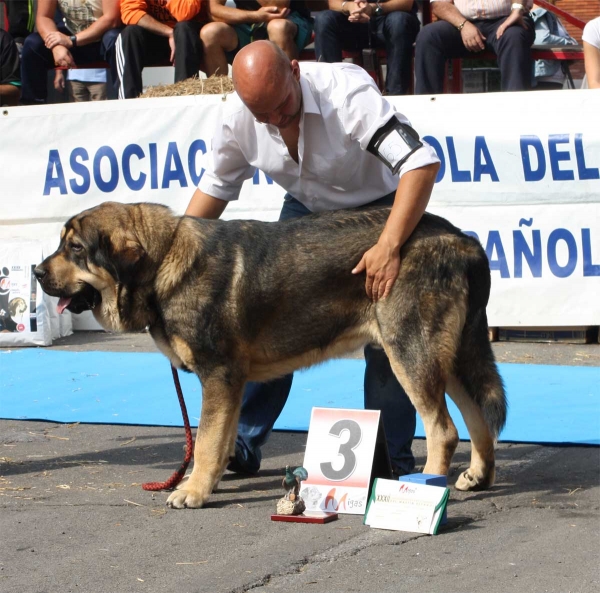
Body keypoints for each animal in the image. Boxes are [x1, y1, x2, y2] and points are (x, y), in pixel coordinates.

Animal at [35, 201, 506, 506]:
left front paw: (192, 491)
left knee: (444, 430)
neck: (164, 260)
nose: (37, 271)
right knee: (479, 420)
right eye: (62, 244)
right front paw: (209, 482)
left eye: (75, 249)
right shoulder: (230, 382)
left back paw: (428, 486)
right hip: (451, 357)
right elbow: (222, 438)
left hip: (410, 352)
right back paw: (478, 477)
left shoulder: (218, 375)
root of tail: (462, 240)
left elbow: (205, 441)